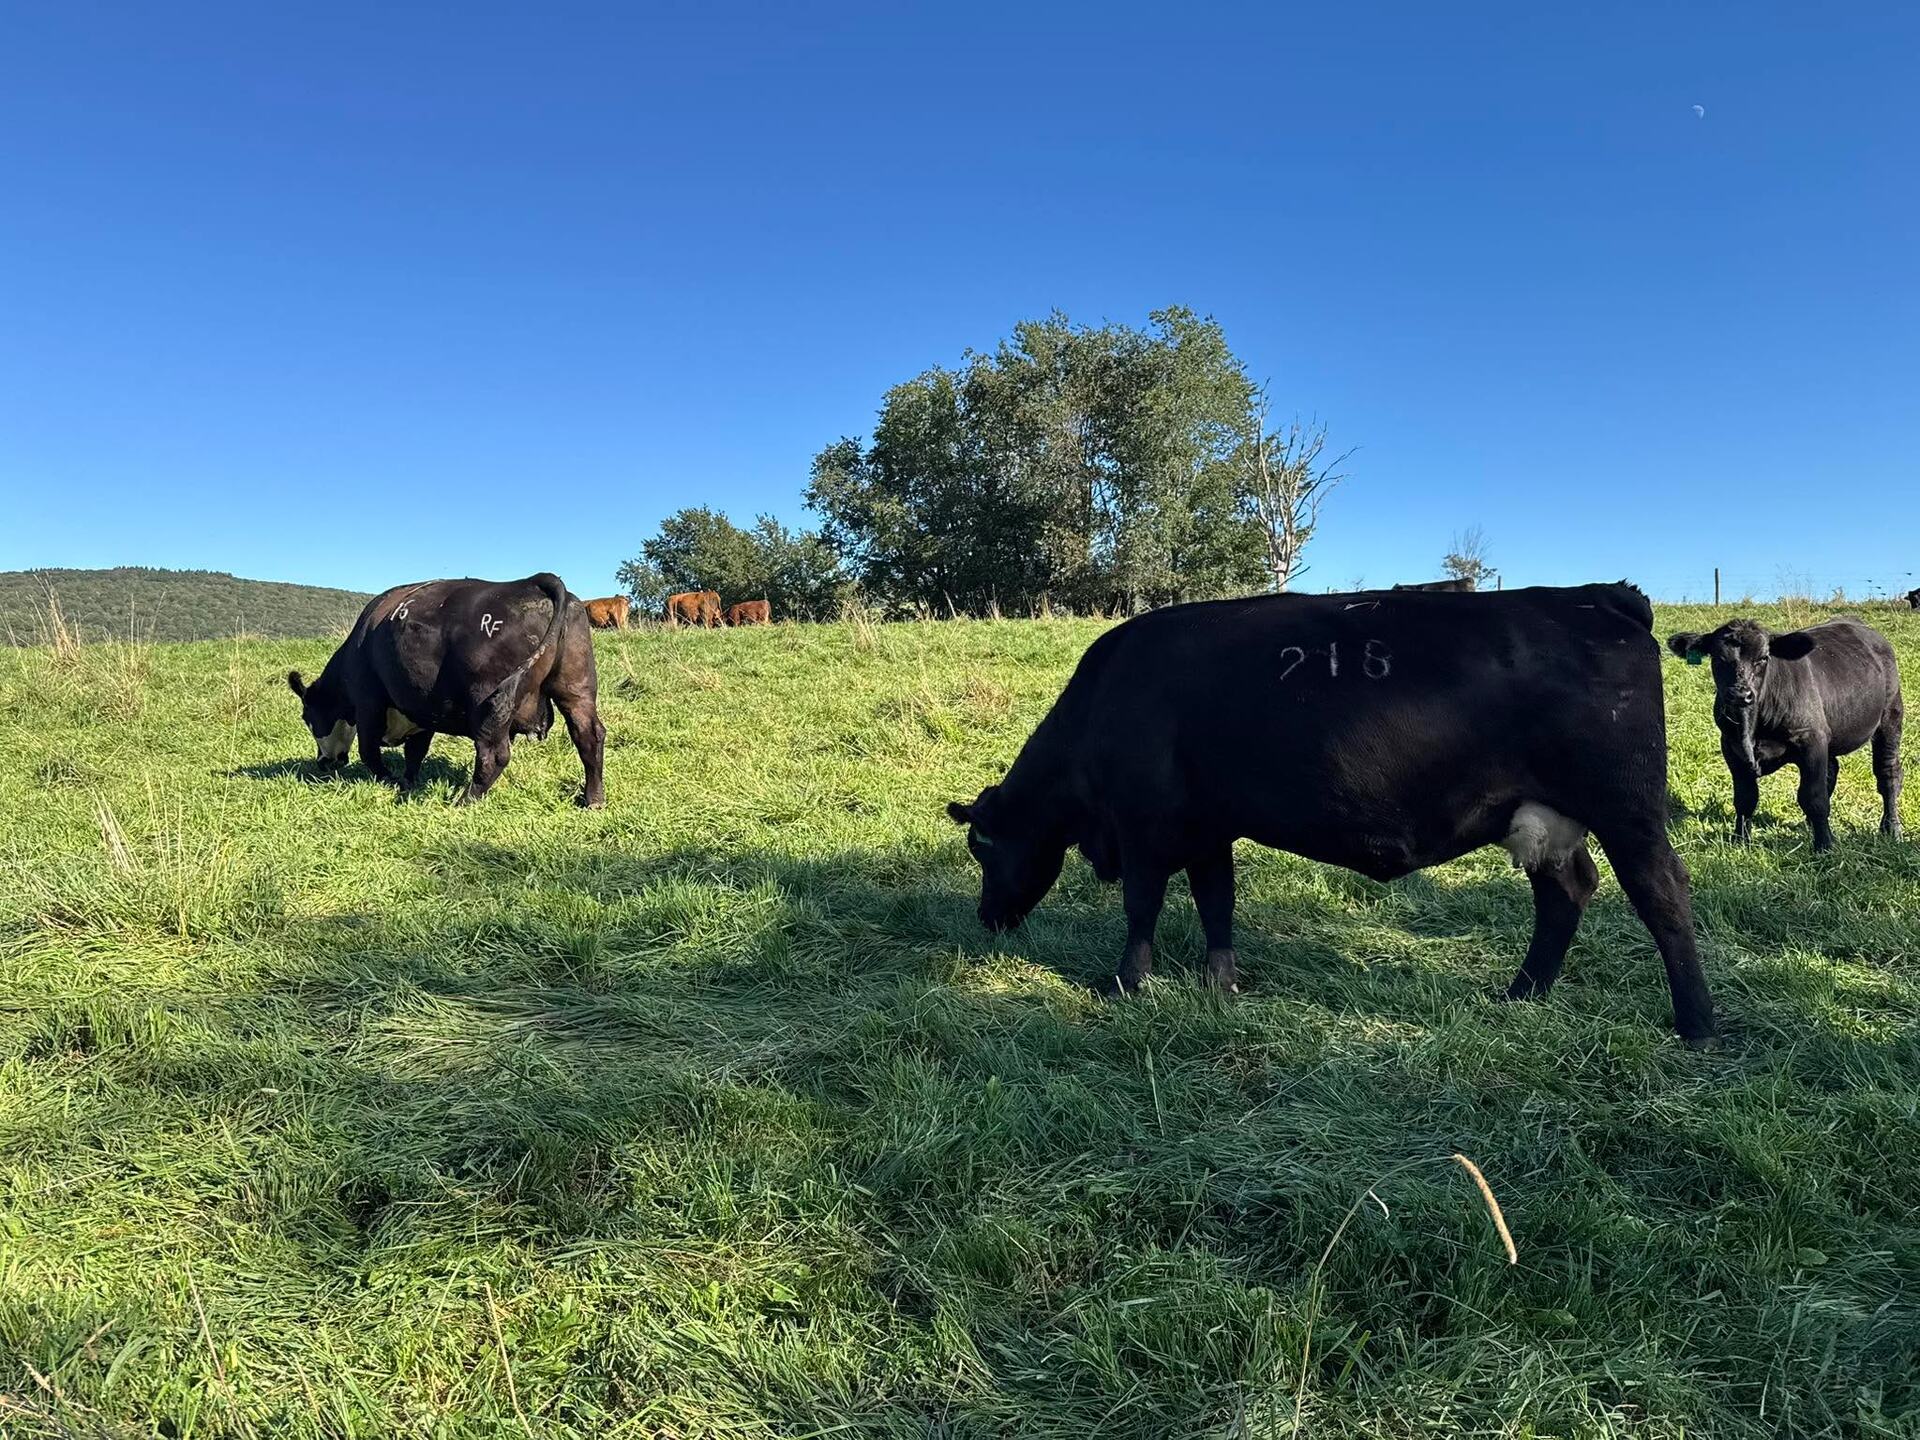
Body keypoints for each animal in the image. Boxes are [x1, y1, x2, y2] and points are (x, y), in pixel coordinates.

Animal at [286, 573, 605, 808]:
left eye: (307, 718)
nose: (324, 763)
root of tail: (531, 582)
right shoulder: (420, 710)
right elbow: (415, 752)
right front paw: (407, 782)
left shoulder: (368, 704)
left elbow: (369, 752)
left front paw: (390, 781)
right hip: (576, 688)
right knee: (588, 735)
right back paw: (593, 800)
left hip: (488, 702)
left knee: (494, 753)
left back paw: (465, 801)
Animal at [947, 583, 1717, 1046]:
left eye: (981, 847)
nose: (986, 917)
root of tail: (1598, 596)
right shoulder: (1208, 827)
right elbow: (1216, 901)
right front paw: (1220, 983)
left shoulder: (1144, 826)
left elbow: (1143, 905)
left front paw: (1127, 983)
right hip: (1547, 819)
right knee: (1564, 894)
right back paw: (1521, 995)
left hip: (1627, 810)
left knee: (1663, 895)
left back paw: (1697, 1023)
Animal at [1666, 617, 1902, 851]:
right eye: (1717, 657)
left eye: (1763, 658)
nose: (1740, 694)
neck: (1751, 728)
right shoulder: (1730, 747)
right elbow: (1745, 798)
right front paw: (1740, 841)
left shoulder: (1811, 740)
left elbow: (1814, 797)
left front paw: (1824, 846)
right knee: (1832, 769)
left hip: (1891, 716)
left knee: (1888, 774)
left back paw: (1891, 828)